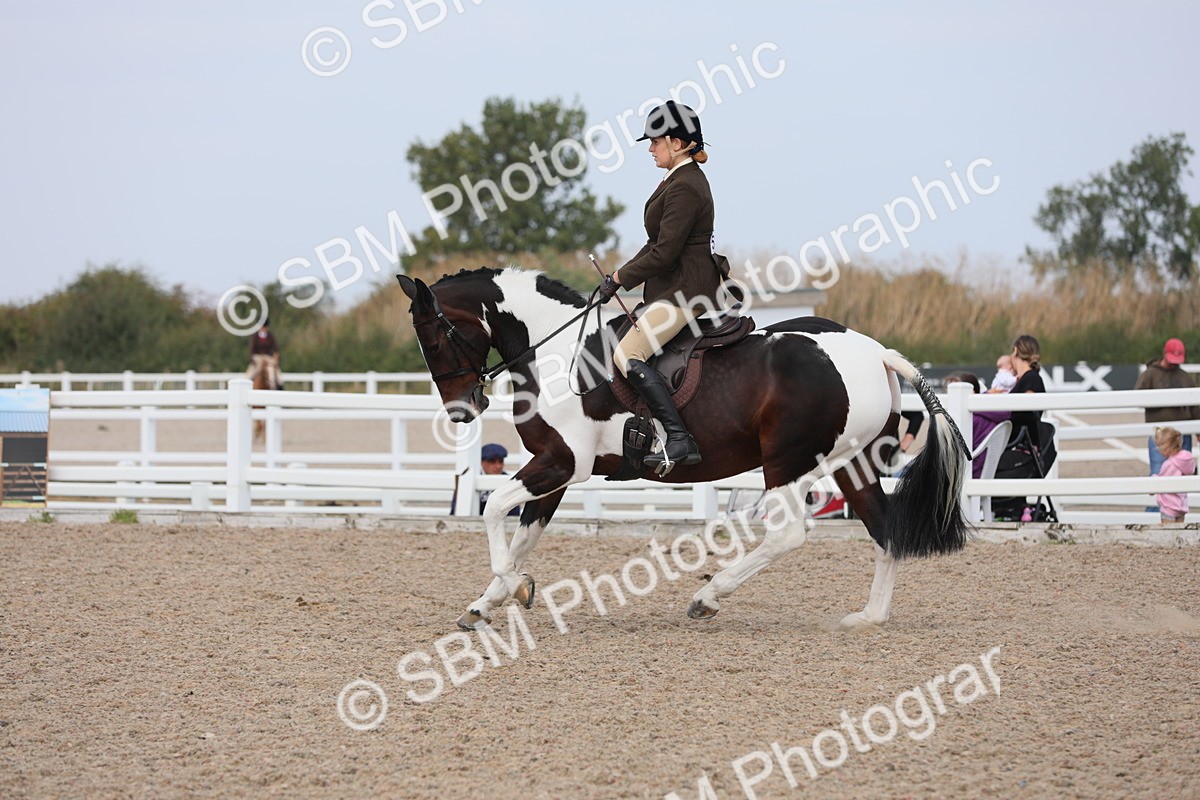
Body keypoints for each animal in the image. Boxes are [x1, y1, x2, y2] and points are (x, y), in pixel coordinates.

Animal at [398, 267, 971, 632]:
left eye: (436, 338)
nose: (462, 411)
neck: (557, 353)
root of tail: (875, 352)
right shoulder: (557, 471)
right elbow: (523, 537)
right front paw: (486, 604)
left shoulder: (562, 463)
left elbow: (494, 509)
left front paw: (516, 589)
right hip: (854, 463)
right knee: (885, 529)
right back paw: (869, 618)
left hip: (788, 462)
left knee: (787, 535)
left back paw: (706, 598)